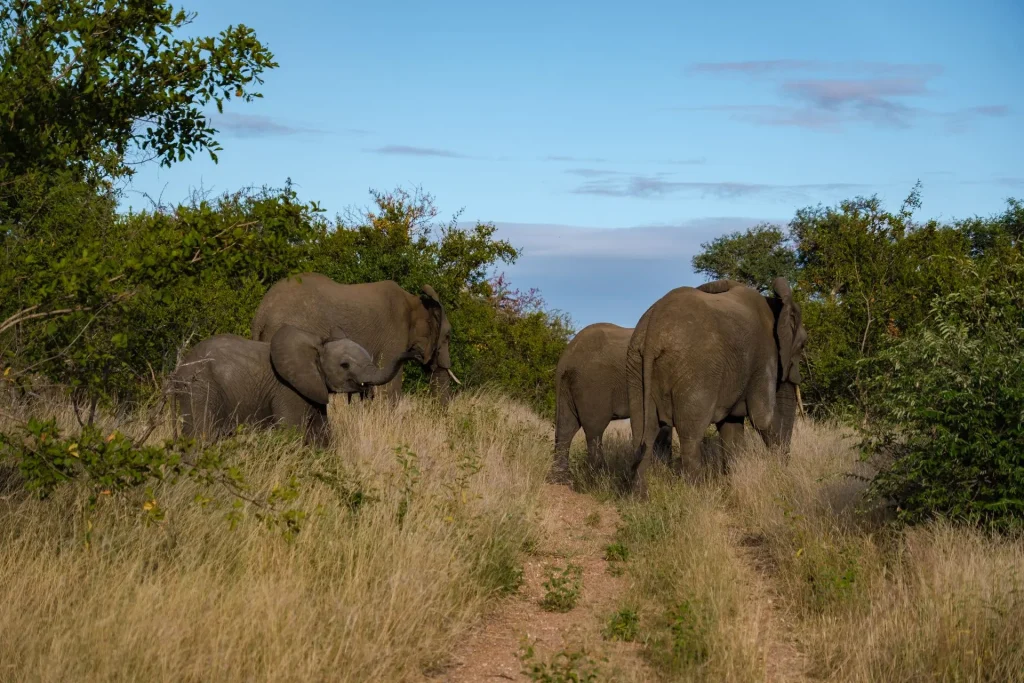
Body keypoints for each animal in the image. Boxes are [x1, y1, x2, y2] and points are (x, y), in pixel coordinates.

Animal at [170, 324, 420, 445]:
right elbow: (292, 434)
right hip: (200, 389)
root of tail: (177, 372)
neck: (315, 346)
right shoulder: (288, 390)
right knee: (200, 436)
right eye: (345, 365)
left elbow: (322, 435)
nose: (416, 352)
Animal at [551, 323, 672, 484]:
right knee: (594, 431)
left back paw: (561, 479)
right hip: (594, 384)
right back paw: (600, 479)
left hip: (567, 388)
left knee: (566, 427)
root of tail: (566, 356)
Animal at [626, 277, 807, 495]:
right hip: (697, 369)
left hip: (636, 367)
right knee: (690, 436)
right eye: (803, 345)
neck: (775, 305)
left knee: (643, 431)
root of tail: (653, 328)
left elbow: (731, 428)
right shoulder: (765, 357)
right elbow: (762, 418)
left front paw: (733, 483)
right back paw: (697, 494)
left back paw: (639, 497)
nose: (783, 472)